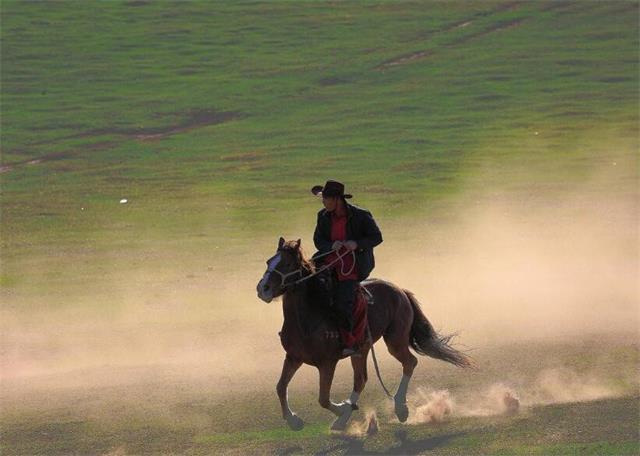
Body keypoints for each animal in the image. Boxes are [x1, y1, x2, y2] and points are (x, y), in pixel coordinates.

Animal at [254, 237, 470, 432]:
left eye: (287, 263)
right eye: (268, 261)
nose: (262, 288)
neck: (308, 318)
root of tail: (400, 290)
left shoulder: (327, 363)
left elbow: (323, 398)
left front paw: (342, 409)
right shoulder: (293, 357)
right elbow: (281, 387)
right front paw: (294, 421)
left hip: (395, 341)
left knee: (409, 363)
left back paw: (399, 408)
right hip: (362, 349)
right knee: (361, 379)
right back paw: (345, 419)